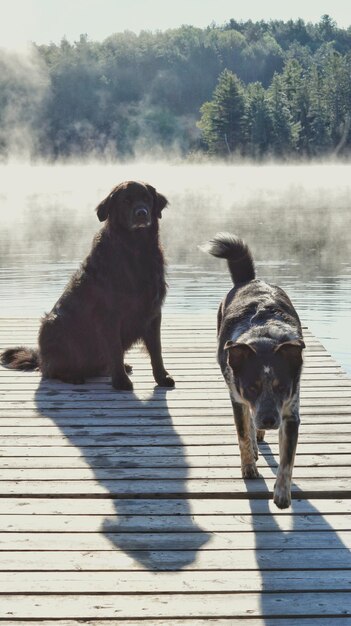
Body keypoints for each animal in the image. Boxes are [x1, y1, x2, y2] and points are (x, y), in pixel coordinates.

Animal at [0, 178, 175, 388]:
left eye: (146, 199)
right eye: (126, 201)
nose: (141, 213)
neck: (136, 249)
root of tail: (40, 358)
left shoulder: (153, 312)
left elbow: (157, 350)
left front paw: (162, 377)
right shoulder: (110, 315)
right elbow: (115, 349)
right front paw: (121, 381)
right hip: (53, 325)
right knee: (51, 370)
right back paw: (73, 376)